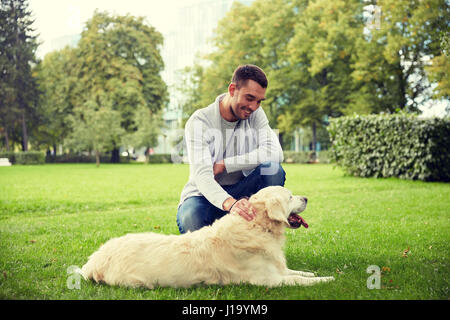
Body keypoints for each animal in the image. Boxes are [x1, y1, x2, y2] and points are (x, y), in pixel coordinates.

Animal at [81, 185, 334, 288]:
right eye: (290, 197)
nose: (306, 198)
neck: (256, 227)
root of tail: (93, 261)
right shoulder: (266, 280)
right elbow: (299, 280)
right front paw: (327, 279)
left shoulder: (277, 270)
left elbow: (296, 272)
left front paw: (315, 273)